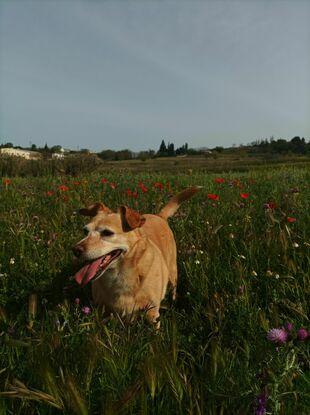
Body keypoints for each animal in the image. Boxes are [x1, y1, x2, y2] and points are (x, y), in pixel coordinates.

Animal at [72, 186, 199, 328]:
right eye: (85, 231)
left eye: (107, 233)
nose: (75, 250)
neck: (120, 274)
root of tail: (159, 216)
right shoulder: (103, 312)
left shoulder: (152, 313)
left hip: (172, 272)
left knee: (173, 290)